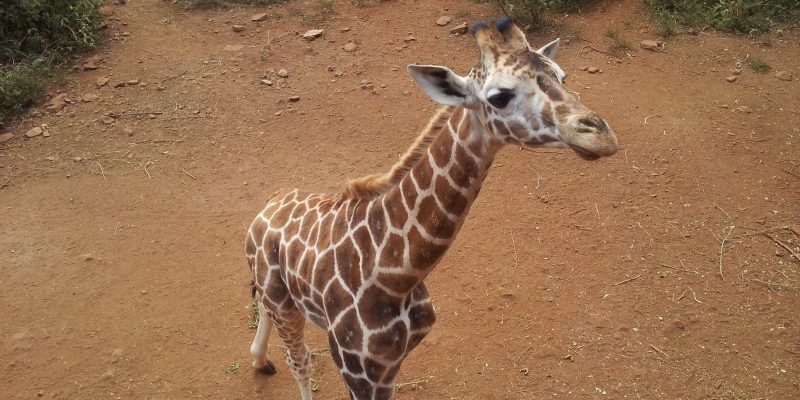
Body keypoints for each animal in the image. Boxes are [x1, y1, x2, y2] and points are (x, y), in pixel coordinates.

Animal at [244, 18, 618, 400]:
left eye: (563, 76)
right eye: (499, 96)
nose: (600, 136)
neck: (397, 277)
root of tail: (268, 206)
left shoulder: (394, 362)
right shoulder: (359, 370)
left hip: (278, 294)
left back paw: (259, 359)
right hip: (283, 300)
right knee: (299, 358)